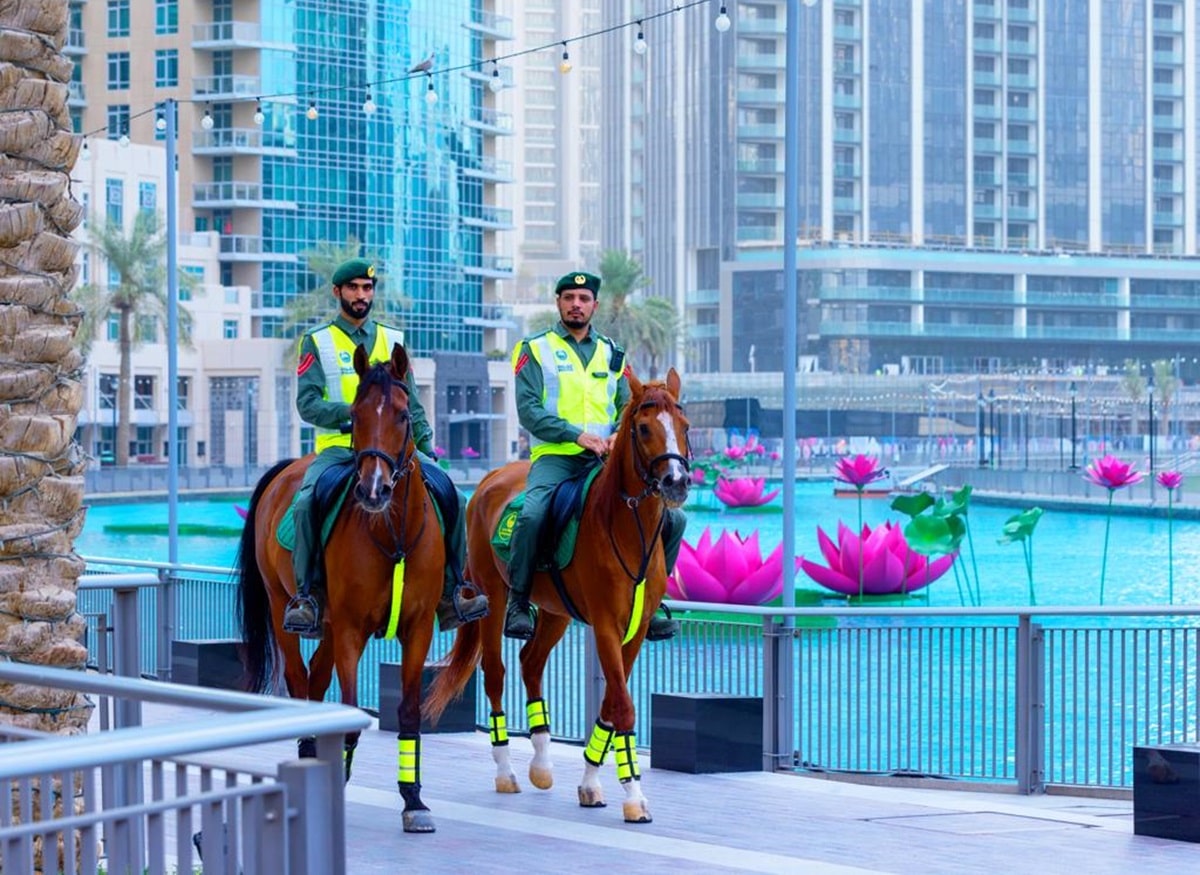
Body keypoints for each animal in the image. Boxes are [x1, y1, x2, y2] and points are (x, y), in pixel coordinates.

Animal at [236, 340, 444, 830]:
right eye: (355, 414)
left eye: (404, 415)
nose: (374, 490)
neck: (393, 533)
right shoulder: (351, 629)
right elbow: (349, 712)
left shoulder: (419, 628)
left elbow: (409, 712)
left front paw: (413, 800)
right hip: (284, 606)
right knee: (299, 679)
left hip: (329, 627)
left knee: (315, 680)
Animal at [424, 364, 691, 820]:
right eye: (642, 429)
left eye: (685, 426)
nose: (676, 481)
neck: (624, 525)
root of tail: (488, 481)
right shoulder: (605, 625)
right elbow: (622, 705)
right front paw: (634, 795)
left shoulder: (635, 631)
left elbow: (610, 704)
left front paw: (590, 782)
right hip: (495, 596)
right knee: (496, 673)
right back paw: (506, 771)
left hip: (556, 613)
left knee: (531, 665)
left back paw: (542, 764)